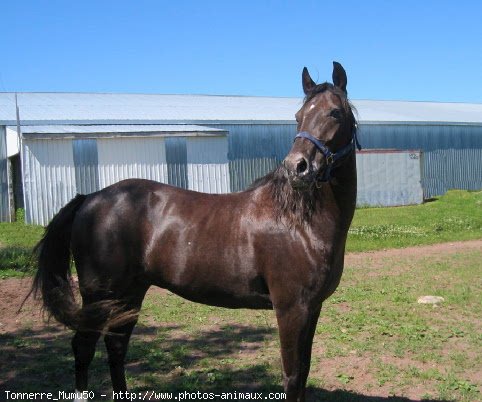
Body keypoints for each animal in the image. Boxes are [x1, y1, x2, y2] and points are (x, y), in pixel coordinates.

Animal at [33, 60, 358, 402]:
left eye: (335, 112)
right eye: (298, 116)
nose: (298, 167)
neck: (299, 223)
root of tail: (89, 198)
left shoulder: (312, 308)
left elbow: (303, 372)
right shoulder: (291, 308)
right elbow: (293, 376)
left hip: (129, 294)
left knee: (116, 346)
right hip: (99, 296)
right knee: (83, 348)